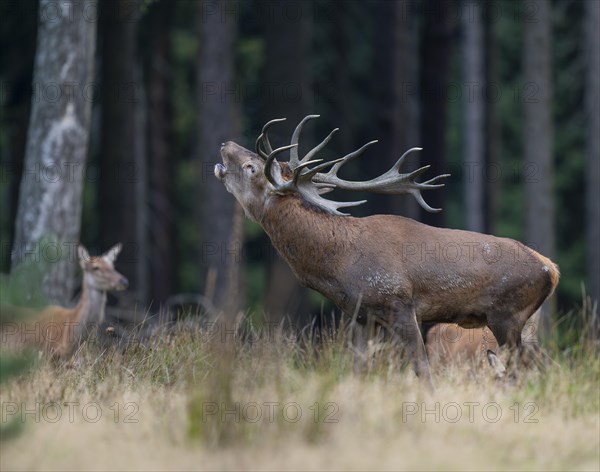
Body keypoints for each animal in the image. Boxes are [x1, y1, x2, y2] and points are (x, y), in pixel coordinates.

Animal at [214, 115, 556, 388]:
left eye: (251, 167)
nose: (225, 144)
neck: (339, 264)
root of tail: (551, 268)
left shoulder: (400, 304)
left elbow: (422, 369)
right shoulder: (362, 316)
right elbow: (357, 370)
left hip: (507, 315)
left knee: (521, 369)